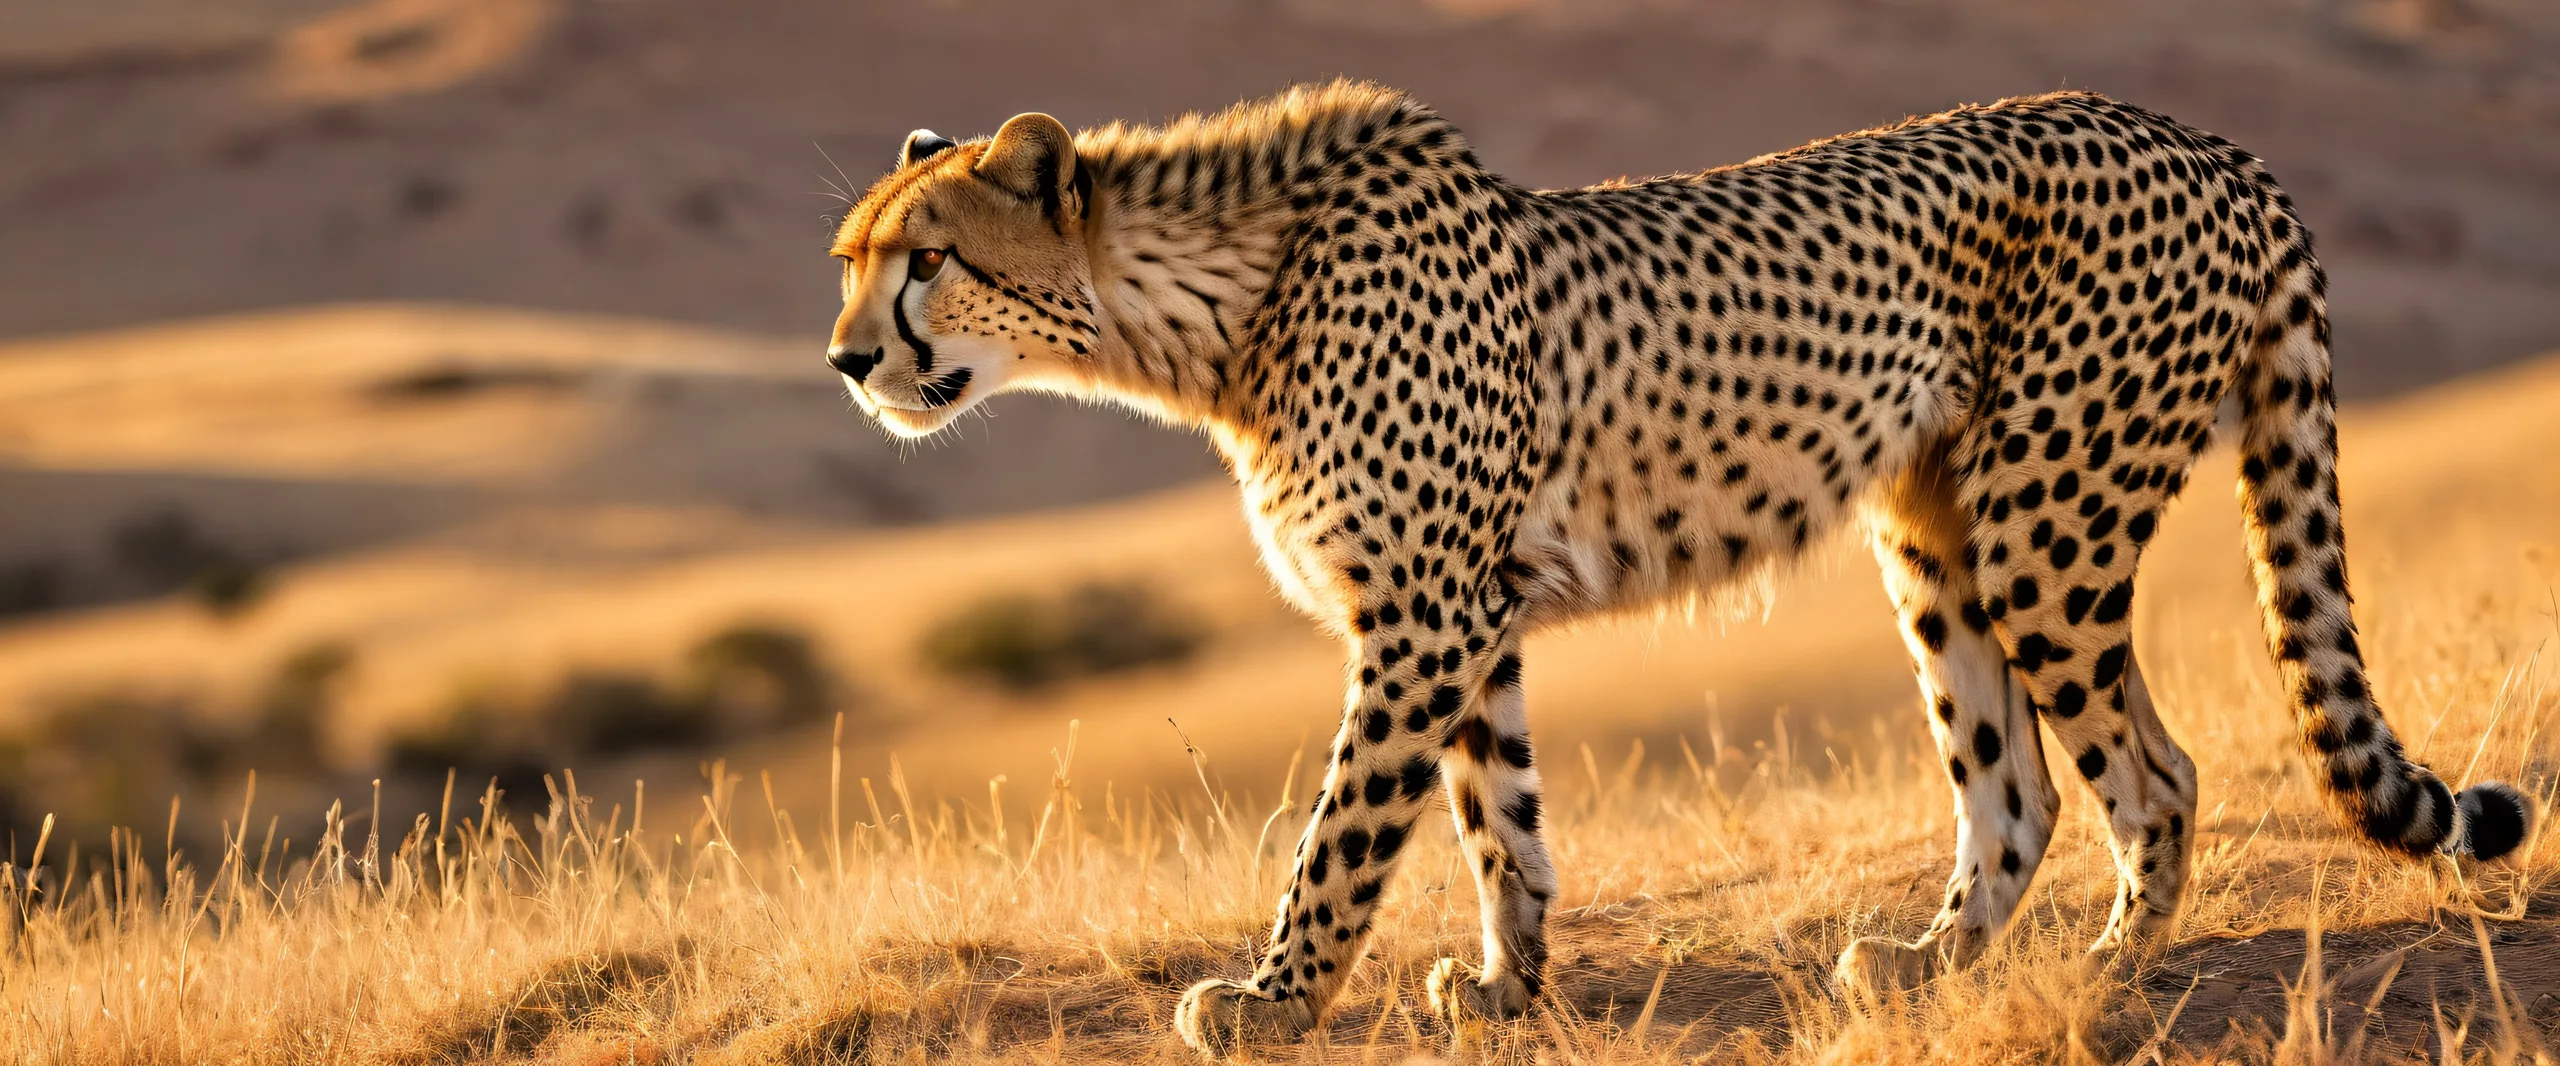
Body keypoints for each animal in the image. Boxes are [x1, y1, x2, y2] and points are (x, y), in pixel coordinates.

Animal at [818, 81, 2535, 1058]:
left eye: (928, 260)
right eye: (850, 260)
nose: (843, 361)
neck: (1213, 307)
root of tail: (2208, 140)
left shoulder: (1420, 617)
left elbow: (1346, 832)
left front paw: (1270, 1001)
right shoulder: (1469, 615)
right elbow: (1496, 815)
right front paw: (1507, 985)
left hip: (2048, 522)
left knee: (2155, 770)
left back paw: (2113, 970)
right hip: (1934, 531)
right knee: (2018, 783)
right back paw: (1932, 963)